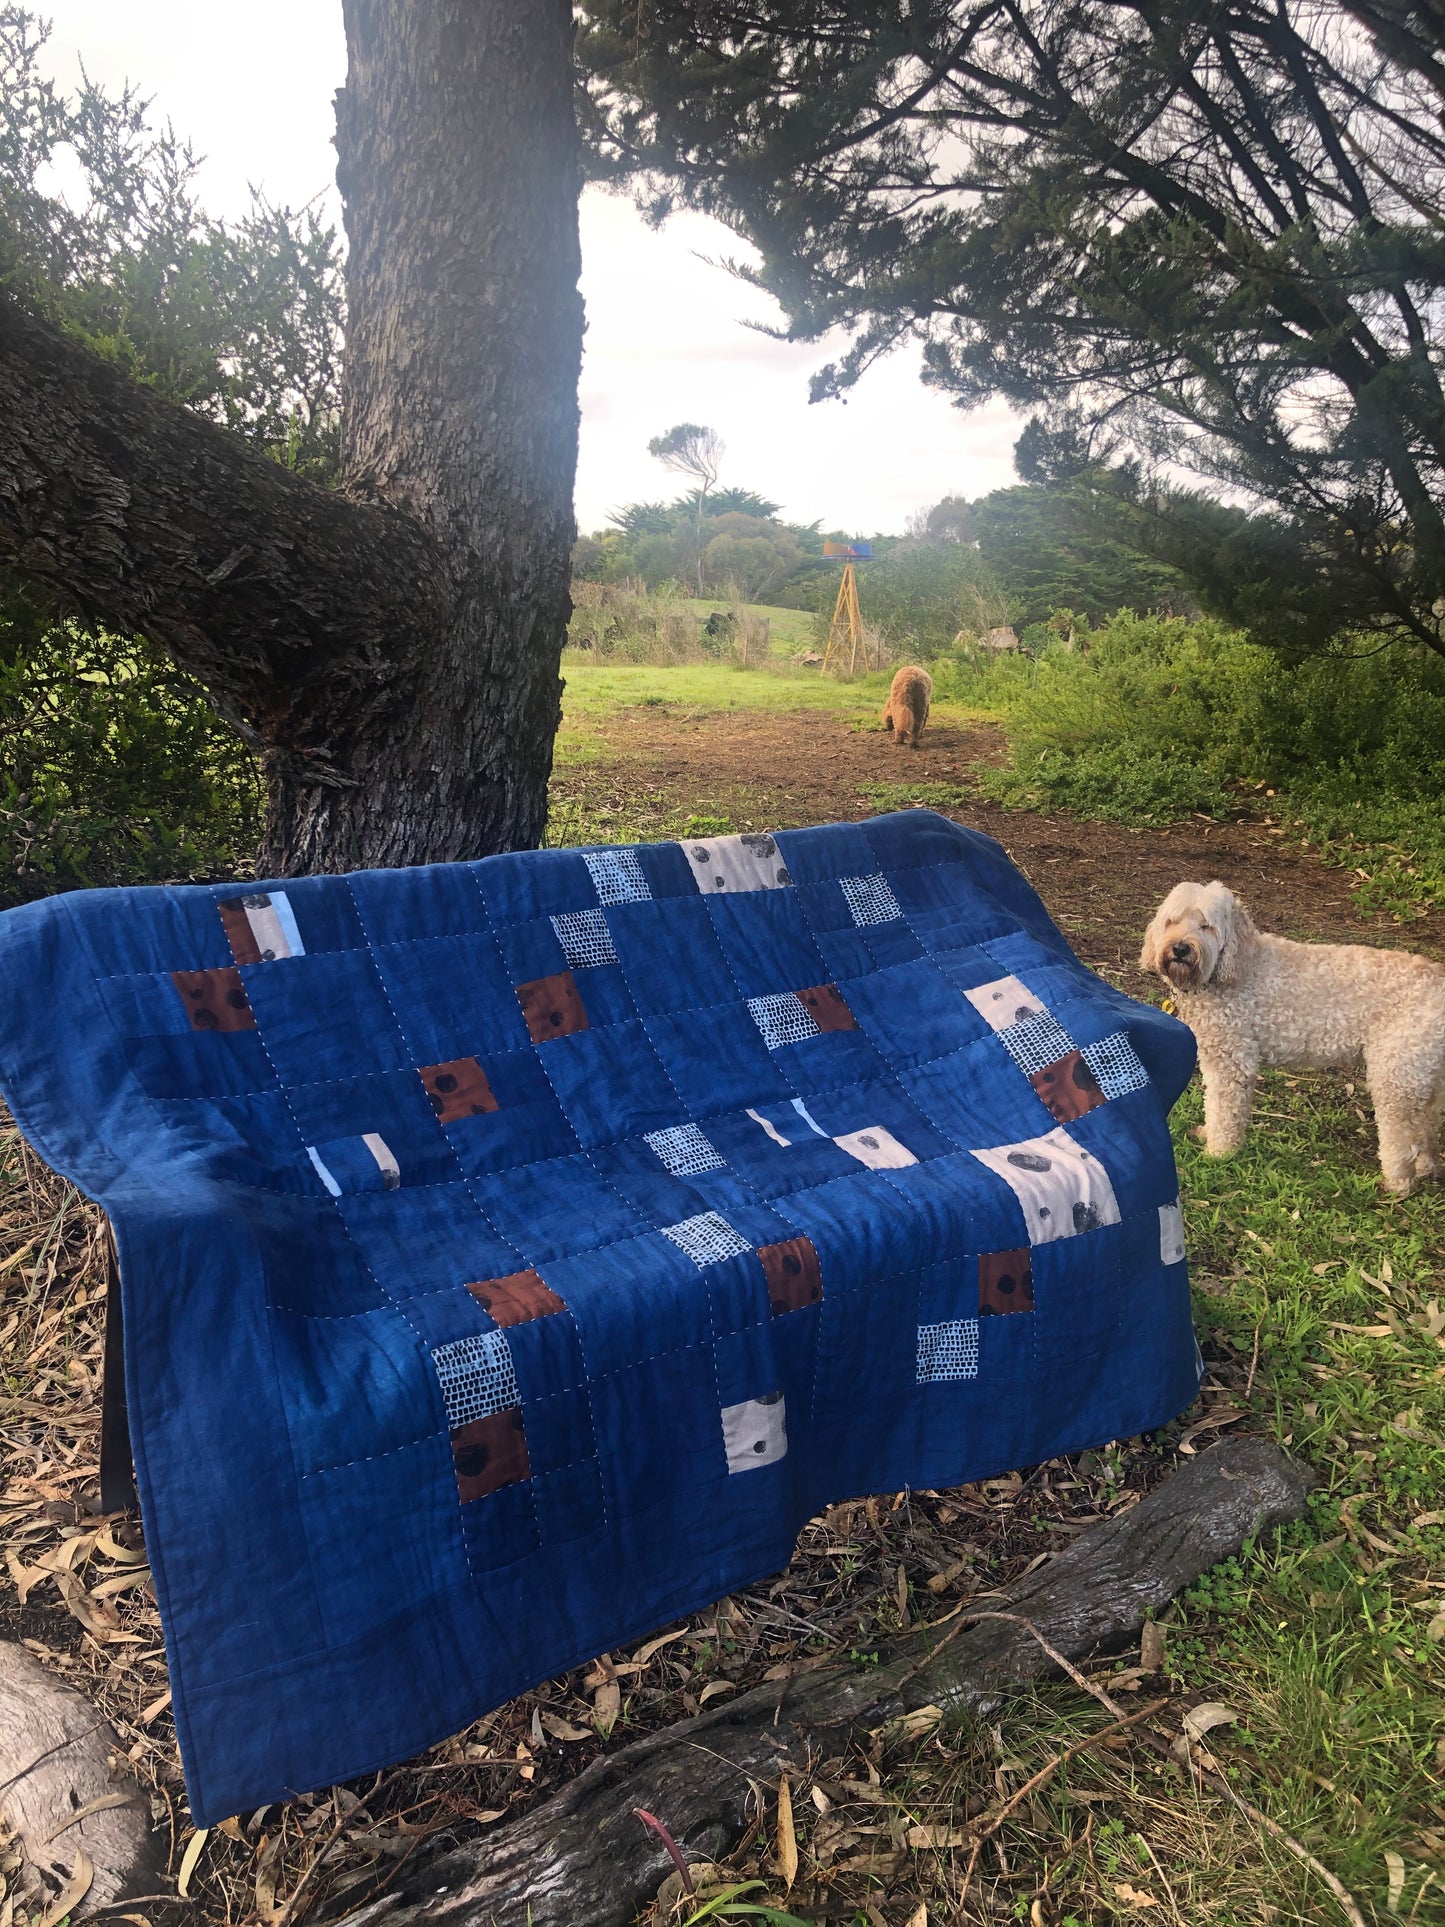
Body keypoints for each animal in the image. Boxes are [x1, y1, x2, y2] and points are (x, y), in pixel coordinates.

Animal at [1140, 882, 1445, 1187]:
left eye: (1207, 926)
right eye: (1173, 921)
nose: (1180, 948)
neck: (1238, 965)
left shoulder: (1233, 1061)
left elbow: (1222, 1110)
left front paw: (1219, 1152)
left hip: (1395, 1076)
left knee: (1403, 1138)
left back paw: (1397, 1183)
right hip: (1423, 1074)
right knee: (1428, 1125)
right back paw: (1426, 1166)